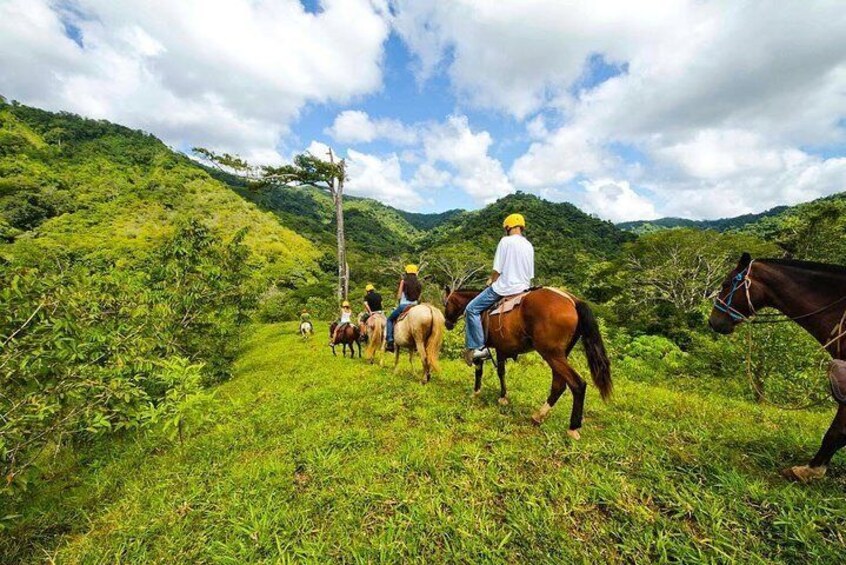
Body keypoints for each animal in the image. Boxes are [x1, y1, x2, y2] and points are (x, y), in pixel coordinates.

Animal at [440, 286, 612, 436]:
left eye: (446, 304)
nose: (447, 324)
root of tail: (573, 301)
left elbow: (480, 370)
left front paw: (476, 392)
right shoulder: (501, 348)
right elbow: (501, 372)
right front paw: (503, 397)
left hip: (551, 354)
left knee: (578, 384)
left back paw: (573, 427)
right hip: (560, 355)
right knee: (559, 385)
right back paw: (539, 415)